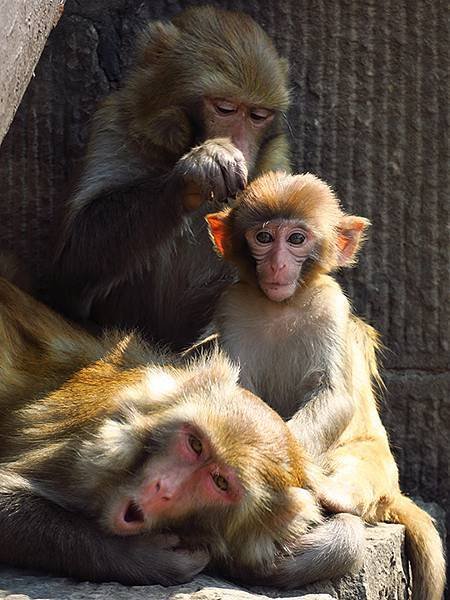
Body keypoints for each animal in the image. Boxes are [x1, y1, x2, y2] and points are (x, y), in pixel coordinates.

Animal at [46, 4, 292, 350]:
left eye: (258, 116)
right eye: (225, 108)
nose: (241, 146)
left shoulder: (274, 159)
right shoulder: (112, 121)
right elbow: (66, 273)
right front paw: (201, 166)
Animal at [207, 172, 446, 600]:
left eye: (296, 239)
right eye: (263, 237)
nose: (278, 263)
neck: (280, 306)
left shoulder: (330, 305)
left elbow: (334, 396)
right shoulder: (231, 305)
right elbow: (235, 393)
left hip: (382, 470)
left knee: (355, 466)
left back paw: (331, 493)